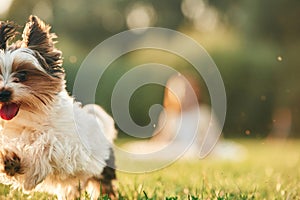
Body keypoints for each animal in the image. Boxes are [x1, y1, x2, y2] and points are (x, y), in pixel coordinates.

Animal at [0, 14, 117, 199]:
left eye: (23, 75)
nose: (3, 93)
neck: (28, 116)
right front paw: (9, 160)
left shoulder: (68, 147)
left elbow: (46, 144)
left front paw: (21, 160)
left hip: (102, 170)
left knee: (104, 186)